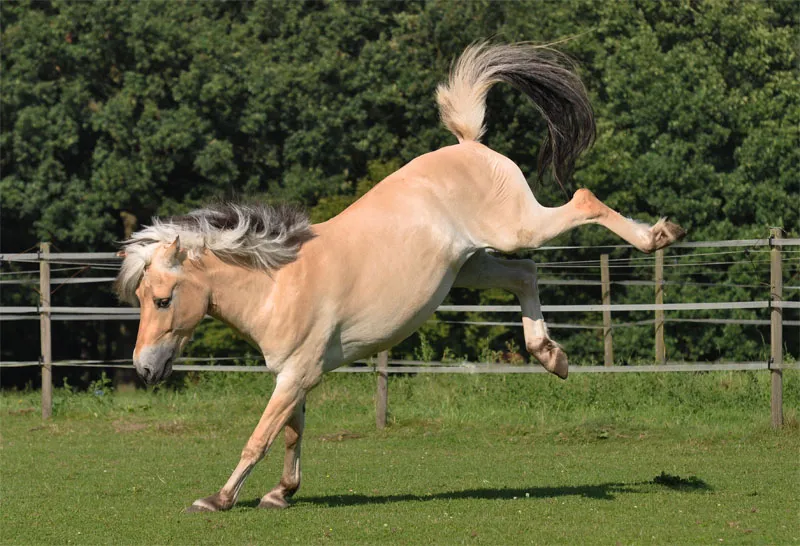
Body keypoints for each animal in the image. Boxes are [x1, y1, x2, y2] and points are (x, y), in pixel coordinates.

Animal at [114, 42, 688, 510]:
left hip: (516, 228)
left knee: (581, 204)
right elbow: (293, 433)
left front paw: (218, 499)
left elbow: (261, 435)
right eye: (140, 298)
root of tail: (469, 144)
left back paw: (659, 236)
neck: (278, 285)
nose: (143, 369)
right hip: (472, 265)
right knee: (524, 273)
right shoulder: (297, 376)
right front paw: (281, 493)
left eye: (161, 299)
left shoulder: (295, 374)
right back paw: (552, 357)